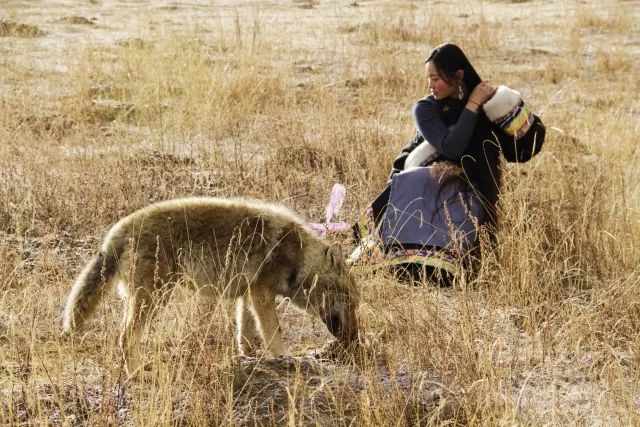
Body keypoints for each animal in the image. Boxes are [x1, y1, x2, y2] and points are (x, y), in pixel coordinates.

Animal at [62, 197, 360, 374]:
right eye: (349, 302)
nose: (353, 340)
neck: (298, 255)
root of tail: (116, 231)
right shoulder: (262, 295)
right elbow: (274, 334)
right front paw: (285, 359)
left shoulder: (246, 296)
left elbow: (245, 337)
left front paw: (250, 360)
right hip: (154, 298)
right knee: (125, 338)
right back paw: (136, 373)